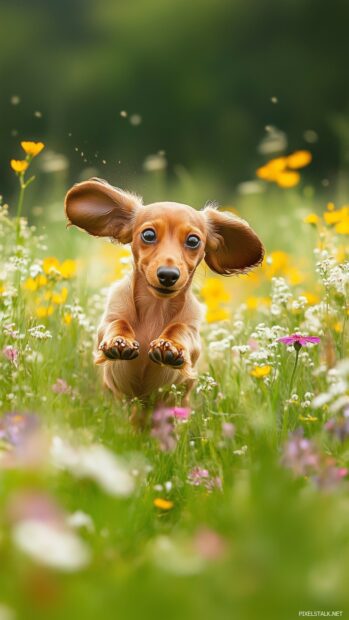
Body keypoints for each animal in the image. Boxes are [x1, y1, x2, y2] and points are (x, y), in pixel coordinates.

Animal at [64, 177, 262, 404]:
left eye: (193, 240)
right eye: (148, 234)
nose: (168, 275)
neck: (155, 308)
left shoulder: (192, 332)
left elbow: (180, 329)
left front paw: (170, 345)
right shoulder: (109, 319)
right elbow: (117, 323)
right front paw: (119, 341)